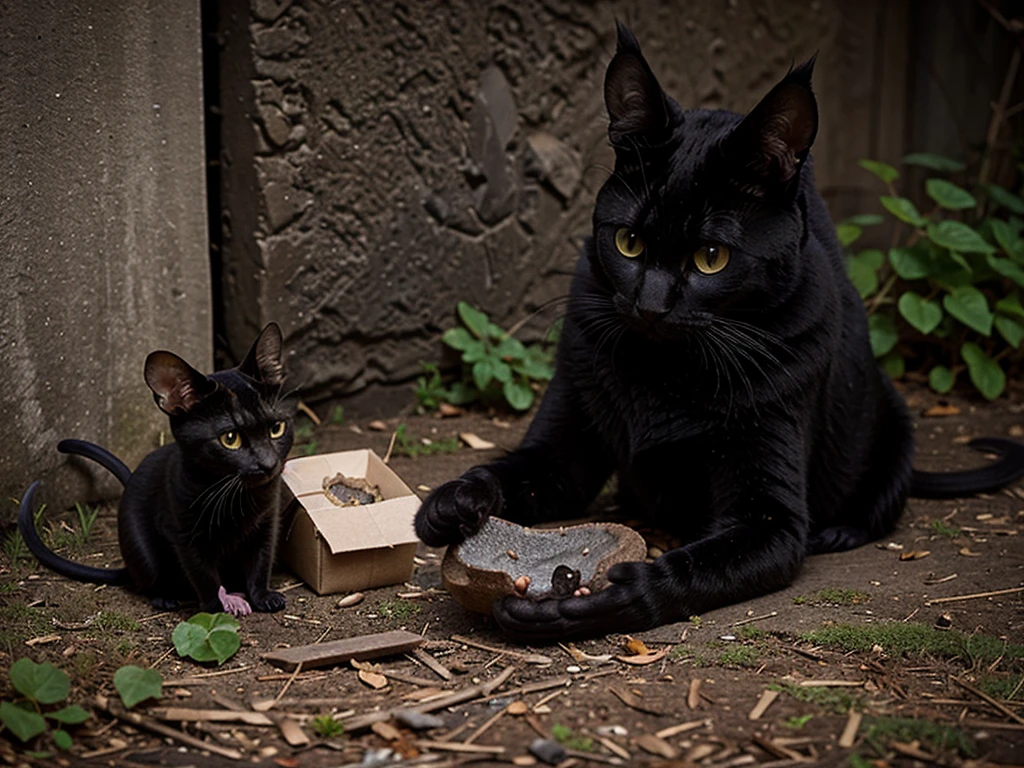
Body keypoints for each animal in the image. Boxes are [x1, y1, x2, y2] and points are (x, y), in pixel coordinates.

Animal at [18, 325, 296, 618]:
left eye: (276, 428)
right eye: (230, 438)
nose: (268, 464)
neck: (237, 498)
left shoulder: (266, 523)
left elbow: (260, 563)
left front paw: (263, 597)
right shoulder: (184, 537)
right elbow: (204, 577)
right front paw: (216, 610)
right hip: (144, 552)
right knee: (150, 581)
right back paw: (165, 597)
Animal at [413, 25, 1024, 643]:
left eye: (712, 257)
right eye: (628, 242)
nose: (651, 304)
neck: (662, 373)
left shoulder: (769, 517)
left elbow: (689, 569)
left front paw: (596, 602)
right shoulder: (563, 454)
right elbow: (509, 468)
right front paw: (451, 502)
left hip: (896, 423)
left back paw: (838, 532)